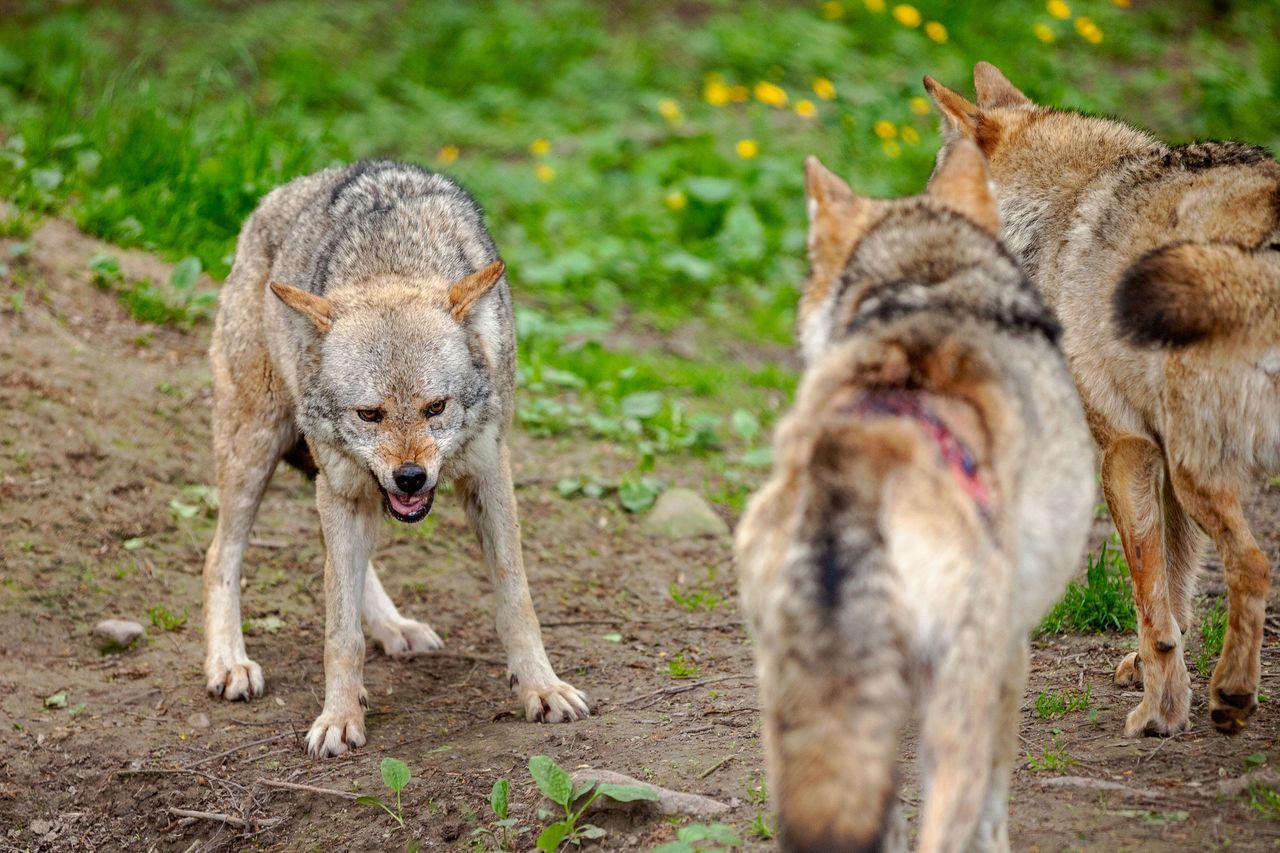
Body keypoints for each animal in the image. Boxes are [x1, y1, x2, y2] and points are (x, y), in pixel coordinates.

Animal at [203, 161, 588, 758]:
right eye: (370, 414)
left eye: (436, 407)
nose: (410, 477)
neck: (390, 262)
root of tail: (274, 197)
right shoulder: (341, 488)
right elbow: (340, 634)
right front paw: (339, 717)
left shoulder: (488, 473)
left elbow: (516, 601)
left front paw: (541, 689)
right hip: (258, 451)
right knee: (220, 555)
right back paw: (229, 663)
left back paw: (395, 628)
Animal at [737, 140, 1095, 850]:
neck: (931, 284)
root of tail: (860, 455)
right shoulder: (1010, 657)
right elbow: (995, 808)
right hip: (954, 703)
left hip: (805, 724)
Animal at [926, 61, 1280, 737]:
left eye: (933, 198)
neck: (1059, 216)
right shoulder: (1158, 459)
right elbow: (1175, 589)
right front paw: (1150, 677)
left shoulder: (1125, 449)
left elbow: (1151, 602)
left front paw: (1160, 711)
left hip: (1199, 472)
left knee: (1252, 564)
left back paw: (1231, 694)